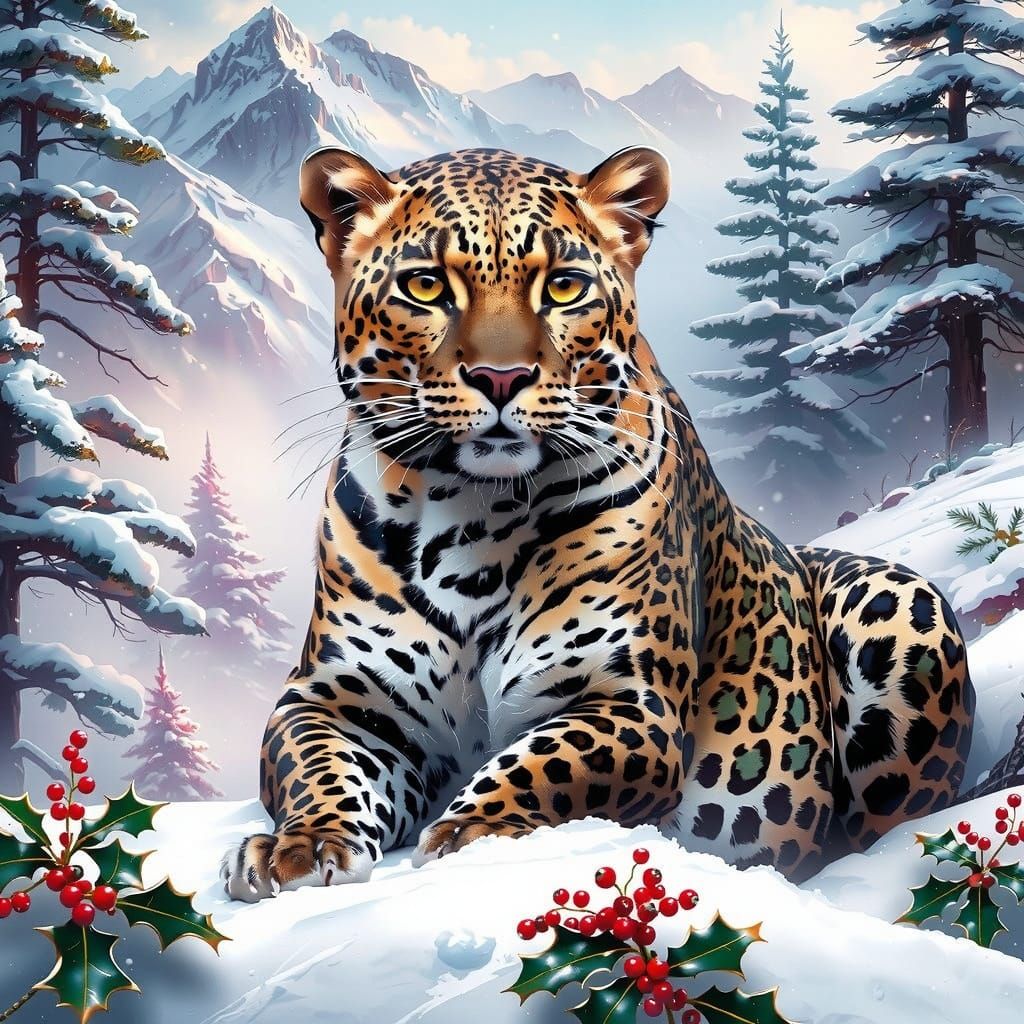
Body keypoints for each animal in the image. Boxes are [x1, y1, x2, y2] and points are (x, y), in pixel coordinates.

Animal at [221, 145, 973, 900]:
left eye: (563, 288)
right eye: (427, 286)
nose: (501, 378)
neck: (469, 513)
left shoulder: (626, 702)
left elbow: (543, 761)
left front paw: (475, 834)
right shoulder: (336, 698)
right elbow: (317, 768)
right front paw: (300, 847)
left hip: (900, 602)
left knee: (880, 832)